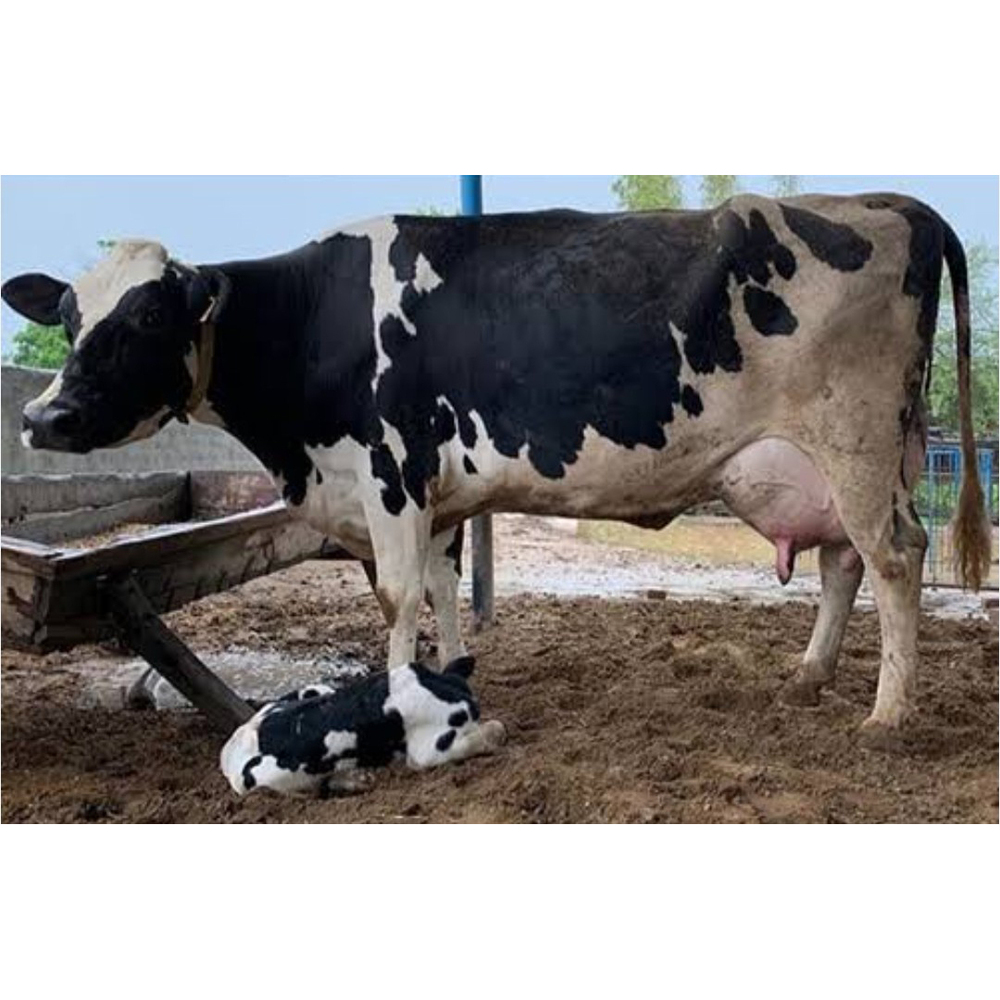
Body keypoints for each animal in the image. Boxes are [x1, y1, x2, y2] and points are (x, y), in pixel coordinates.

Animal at [3, 192, 991, 747]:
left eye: (143, 320)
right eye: (69, 316)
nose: (42, 418)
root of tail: (892, 203)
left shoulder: (391, 468)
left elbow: (397, 596)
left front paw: (401, 703)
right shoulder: (433, 493)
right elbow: (442, 589)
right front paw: (453, 672)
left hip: (855, 437)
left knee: (896, 556)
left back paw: (888, 716)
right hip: (862, 455)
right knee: (844, 560)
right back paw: (812, 675)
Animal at [219, 655, 505, 796]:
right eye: (461, 719)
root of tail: (232, 748)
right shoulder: (427, 750)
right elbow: (492, 731)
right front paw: (494, 731)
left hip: (316, 689)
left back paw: (360, 779)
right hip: (276, 779)